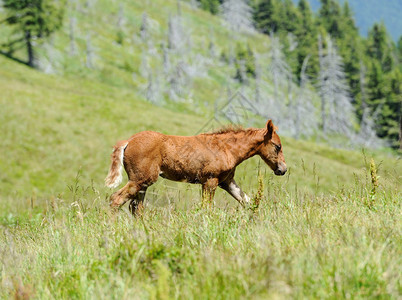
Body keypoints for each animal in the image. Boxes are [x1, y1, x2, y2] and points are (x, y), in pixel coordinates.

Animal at [104, 119, 286, 213]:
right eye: (277, 146)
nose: (283, 169)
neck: (227, 148)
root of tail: (128, 141)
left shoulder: (227, 182)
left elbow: (247, 201)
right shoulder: (210, 181)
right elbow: (206, 208)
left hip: (143, 183)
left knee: (136, 207)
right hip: (141, 179)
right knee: (116, 199)